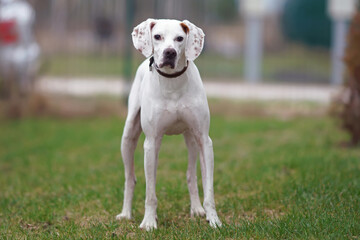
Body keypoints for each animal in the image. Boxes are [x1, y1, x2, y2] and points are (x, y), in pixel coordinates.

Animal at [116, 19, 222, 231]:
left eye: (180, 38)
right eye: (157, 36)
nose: (170, 52)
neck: (173, 83)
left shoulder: (204, 140)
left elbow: (209, 189)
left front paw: (213, 219)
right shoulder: (151, 142)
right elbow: (150, 193)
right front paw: (149, 222)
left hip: (191, 140)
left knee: (191, 175)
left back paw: (197, 209)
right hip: (128, 137)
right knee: (130, 178)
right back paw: (126, 213)